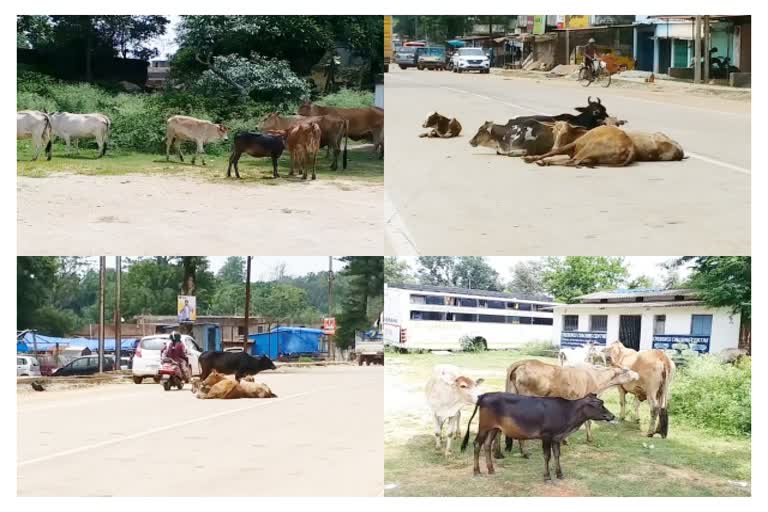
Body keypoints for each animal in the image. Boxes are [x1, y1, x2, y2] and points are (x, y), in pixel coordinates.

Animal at [460, 392, 616, 480]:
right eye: (599, 404)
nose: (612, 415)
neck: (567, 413)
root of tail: (484, 395)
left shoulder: (556, 437)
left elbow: (557, 455)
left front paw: (560, 474)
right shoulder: (546, 435)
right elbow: (547, 456)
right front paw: (547, 476)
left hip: (494, 428)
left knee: (487, 445)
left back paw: (491, 469)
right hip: (484, 427)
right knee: (477, 444)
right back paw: (477, 471)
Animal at [496, 360, 640, 456]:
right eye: (626, 370)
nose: (637, 374)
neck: (595, 377)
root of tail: (522, 363)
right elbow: (587, 421)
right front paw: (587, 439)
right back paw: (524, 452)